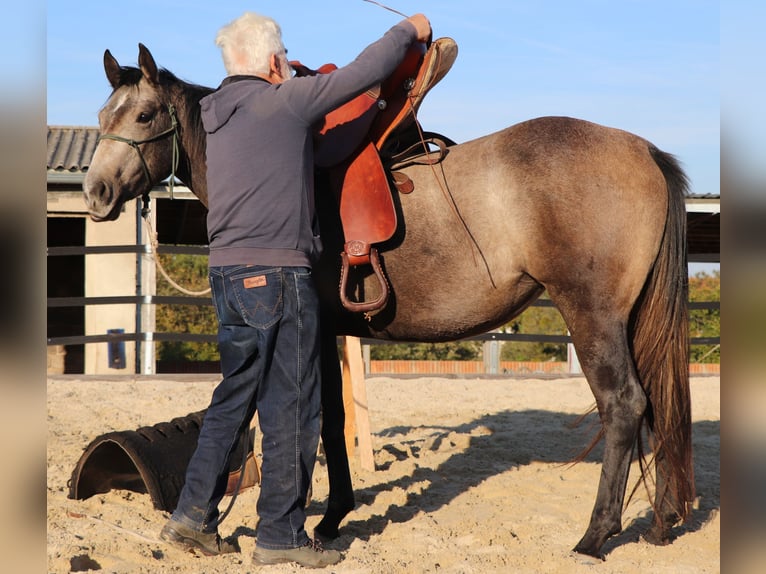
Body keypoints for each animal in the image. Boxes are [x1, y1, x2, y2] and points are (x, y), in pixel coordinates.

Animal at [82, 46, 696, 564]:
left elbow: (320, 420)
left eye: (143, 117)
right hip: (631, 322)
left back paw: (595, 535)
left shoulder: (312, 329)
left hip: (593, 317)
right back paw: (663, 520)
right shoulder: (330, 331)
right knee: (661, 402)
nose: (95, 193)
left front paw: (322, 520)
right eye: (103, 115)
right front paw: (332, 517)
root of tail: (642, 150)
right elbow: (331, 421)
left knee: (624, 405)